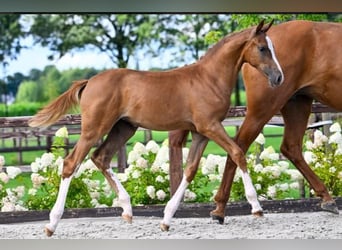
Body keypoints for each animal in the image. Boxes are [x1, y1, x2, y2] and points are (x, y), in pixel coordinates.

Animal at [28, 20, 284, 236]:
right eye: (263, 48)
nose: (279, 78)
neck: (208, 78)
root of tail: (89, 82)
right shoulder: (210, 126)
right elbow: (238, 153)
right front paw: (256, 207)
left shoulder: (200, 132)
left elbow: (190, 170)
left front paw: (167, 219)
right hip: (94, 128)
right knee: (71, 163)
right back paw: (51, 224)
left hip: (124, 128)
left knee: (100, 158)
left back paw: (127, 210)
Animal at [170, 19, 340, 223]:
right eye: (262, 49)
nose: (278, 76)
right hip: (265, 109)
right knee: (240, 146)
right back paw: (222, 208)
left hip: (297, 104)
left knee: (290, 148)